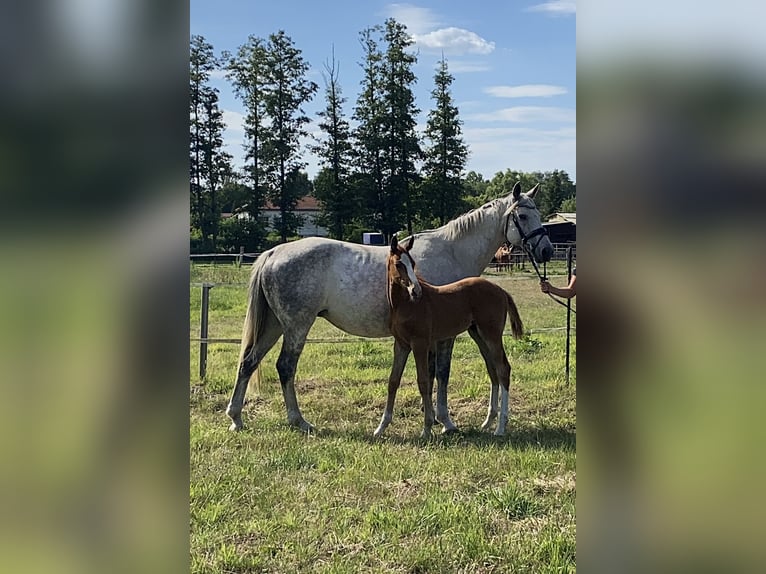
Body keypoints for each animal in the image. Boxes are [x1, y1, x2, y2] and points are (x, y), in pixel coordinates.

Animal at [378, 235, 528, 440]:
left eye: (413, 263)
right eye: (399, 264)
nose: (416, 291)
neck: (405, 305)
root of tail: (501, 290)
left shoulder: (420, 343)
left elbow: (423, 381)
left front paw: (427, 428)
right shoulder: (401, 345)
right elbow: (393, 381)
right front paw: (381, 428)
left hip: (492, 334)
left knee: (503, 368)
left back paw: (500, 427)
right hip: (478, 334)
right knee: (493, 369)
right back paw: (488, 422)